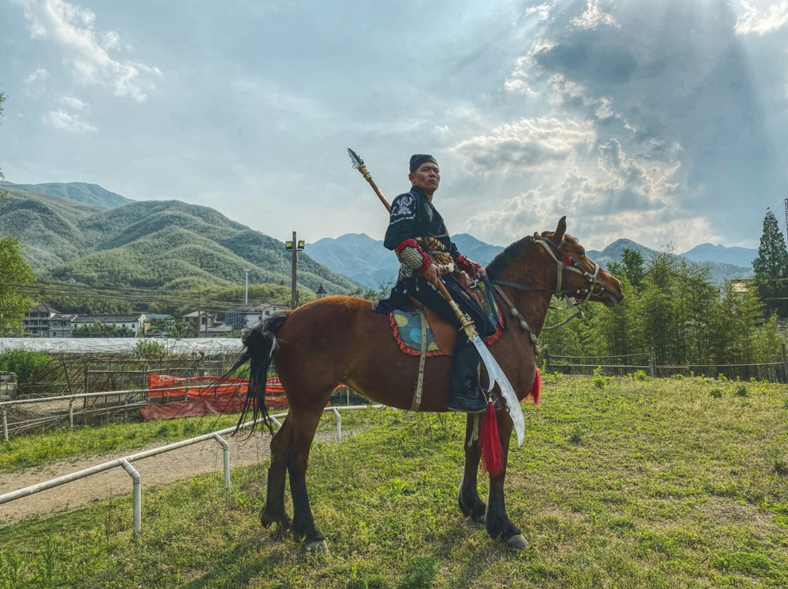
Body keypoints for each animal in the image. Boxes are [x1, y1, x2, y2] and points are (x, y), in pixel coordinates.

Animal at [234, 216, 620, 552]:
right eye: (579, 250)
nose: (616, 286)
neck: (505, 317)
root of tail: (287, 318)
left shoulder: (478, 402)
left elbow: (472, 449)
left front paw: (472, 505)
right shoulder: (503, 405)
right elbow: (500, 464)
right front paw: (504, 526)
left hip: (301, 403)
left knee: (278, 447)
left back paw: (278, 517)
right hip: (312, 402)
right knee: (297, 457)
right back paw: (310, 532)